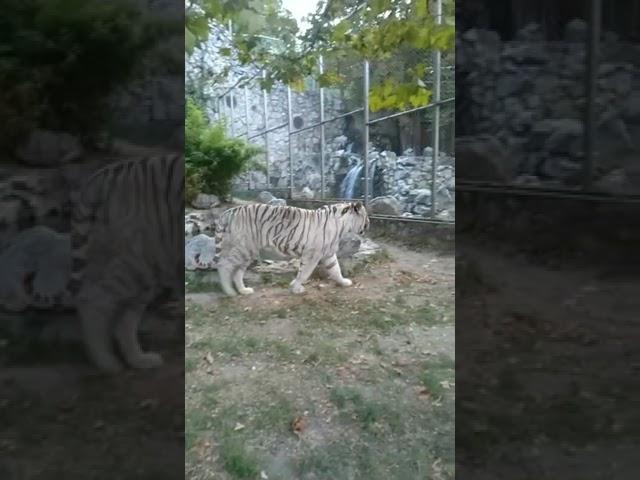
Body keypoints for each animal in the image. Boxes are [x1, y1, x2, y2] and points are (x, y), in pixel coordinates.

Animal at [212, 200, 368, 296]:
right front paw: (296, 288)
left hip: (247, 253)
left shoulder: (328, 254)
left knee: (237, 272)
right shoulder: (313, 254)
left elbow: (336, 270)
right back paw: (229, 292)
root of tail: (228, 212)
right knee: (224, 265)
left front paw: (344, 282)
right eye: (365, 217)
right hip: (242, 248)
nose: (369, 224)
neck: (343, 226)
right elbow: (305, 273)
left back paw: (244, 290)